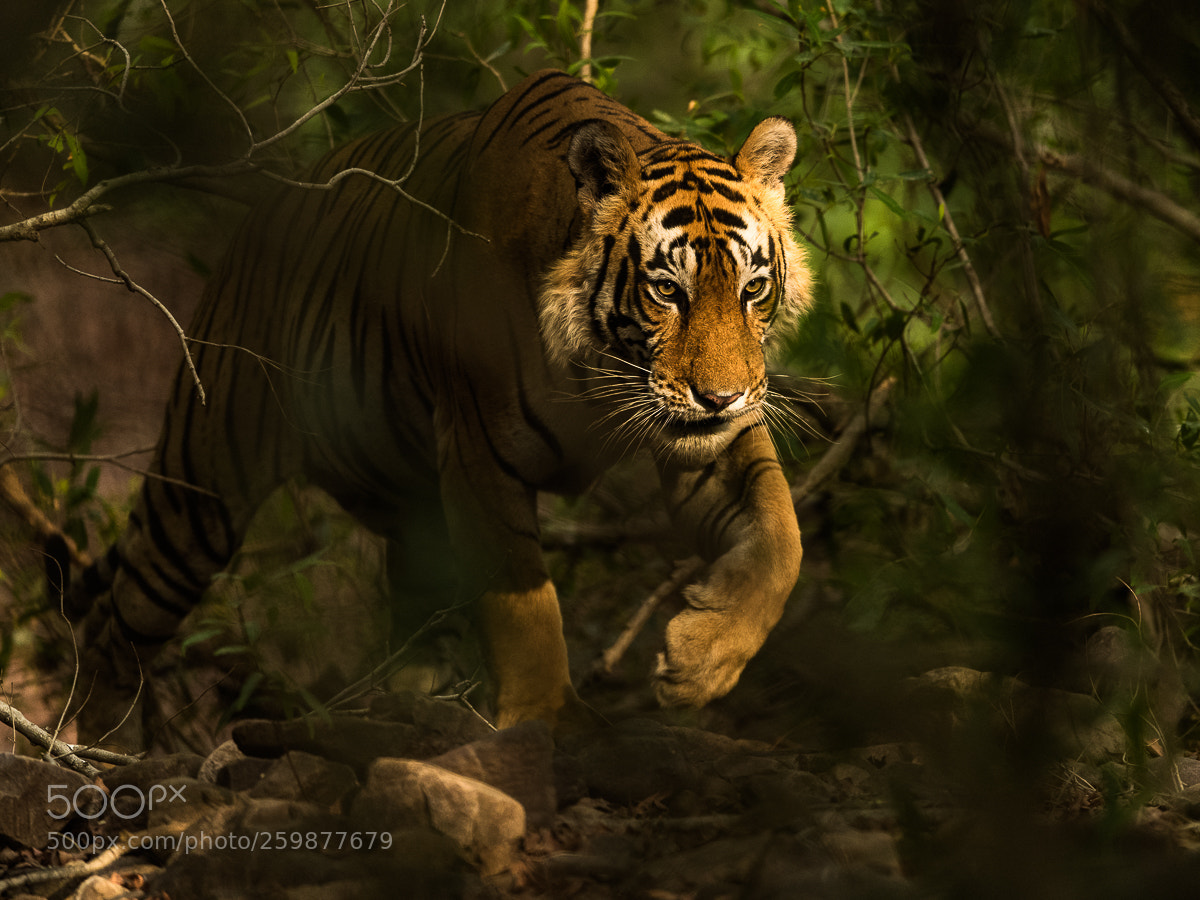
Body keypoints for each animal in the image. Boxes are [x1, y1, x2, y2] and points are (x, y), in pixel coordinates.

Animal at [64, 68, 811, 739]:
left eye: (751, 288)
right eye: (666, 291)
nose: (721, 396)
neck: (601, 374)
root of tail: (267, 208)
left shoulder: (713, 446)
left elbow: (781, 541)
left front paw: (699, 663)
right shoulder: (482, 455)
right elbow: (523, 604)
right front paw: (549, 719)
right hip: (201, 486)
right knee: (116, 619)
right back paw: (101, 753)